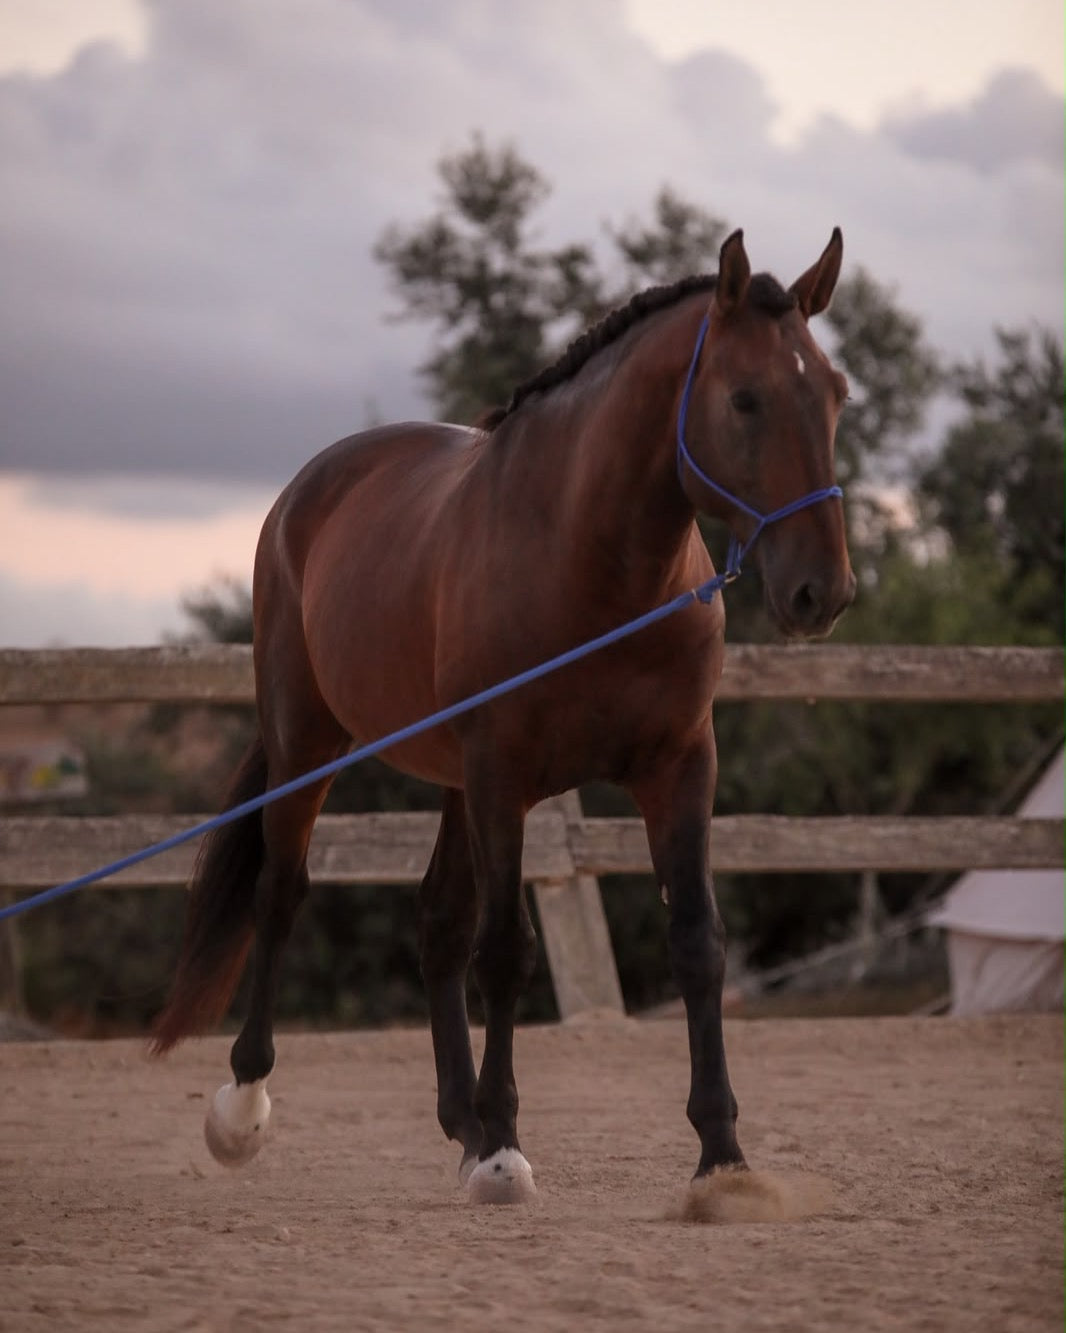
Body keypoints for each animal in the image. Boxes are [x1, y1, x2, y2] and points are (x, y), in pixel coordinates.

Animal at [153, 228, 855, 1203]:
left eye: (833, 395)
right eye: (746, 398)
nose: (822, 592)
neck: (591, 571)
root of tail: (309, 489)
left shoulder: (679, 767)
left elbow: (695, 940)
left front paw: (721, 1155)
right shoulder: (503, 775)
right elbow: (507, 950)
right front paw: (503, 1152)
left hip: (450, 780)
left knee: (436, 923)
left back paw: (460, 1118)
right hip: (311, 745)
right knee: (282, 891)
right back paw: (246, 1107)